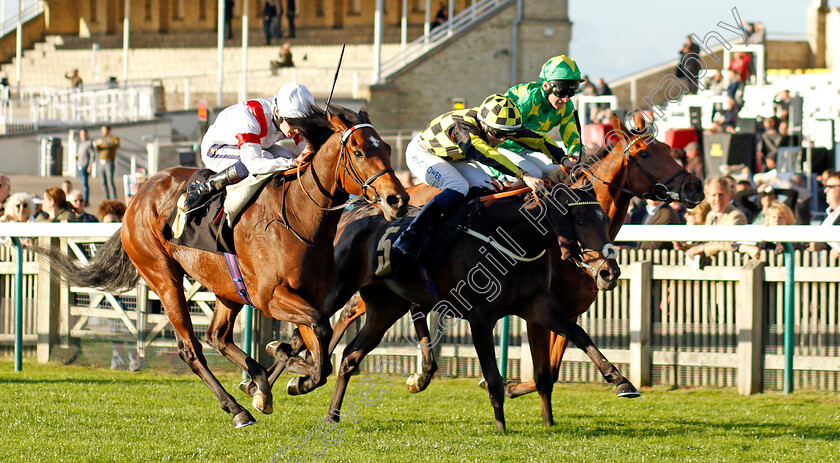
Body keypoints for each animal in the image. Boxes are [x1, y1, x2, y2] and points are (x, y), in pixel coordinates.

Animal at [44, 104, 408, 428]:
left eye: (388, 148)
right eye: (358, 152)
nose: (398, 200)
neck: (297, 217)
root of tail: (139, 194)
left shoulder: (309, 297)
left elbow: (317, 339)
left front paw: (287, 373)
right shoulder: (270, 298)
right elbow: (319, 334)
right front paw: (294, 374)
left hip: (226, 287)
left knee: (216, 336)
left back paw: (258, 383)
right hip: (163, 276)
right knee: (191, 348)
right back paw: (238, 410)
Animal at [318, 187, 632, 434]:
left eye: (605, 220)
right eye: (580, 220)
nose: (610, 272)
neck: (510, 240)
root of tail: (353, 211)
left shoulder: (539, 303)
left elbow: (579, 335)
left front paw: (621, 381)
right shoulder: (480, 316)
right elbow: (493, 377)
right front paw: (501, 427)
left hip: (386, 307)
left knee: (350, 356)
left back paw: (332, 413)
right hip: (339, 288)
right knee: (318, 321)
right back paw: (311, 374)